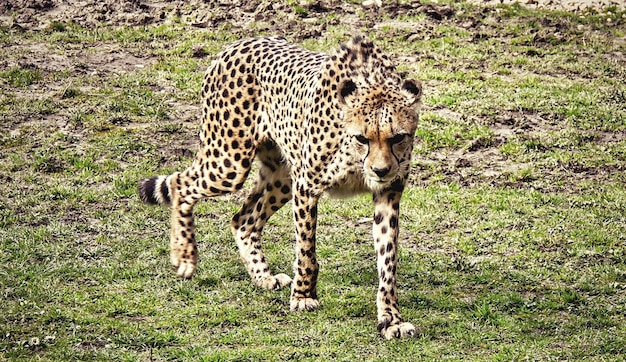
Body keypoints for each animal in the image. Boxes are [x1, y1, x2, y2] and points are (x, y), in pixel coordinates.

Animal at [136, 35, 420, 338]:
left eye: (398, 137)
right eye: (362, 138)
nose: (380, 170)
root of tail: (237, 43)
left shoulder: (388, 193)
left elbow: (387, 262)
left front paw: (391, 319)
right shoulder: (306, 186)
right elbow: (307, 251)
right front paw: (303, 296)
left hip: (281, 175)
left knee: (242, 219)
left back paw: (263, 277)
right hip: (229, 162)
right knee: (181, 184)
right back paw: (185, 257)